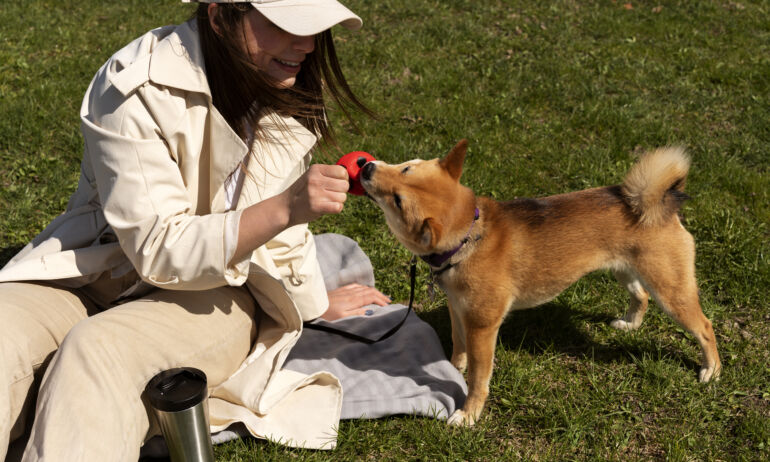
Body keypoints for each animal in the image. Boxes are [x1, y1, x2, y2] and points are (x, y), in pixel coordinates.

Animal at [360, 140, 720, 426]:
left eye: (398, 198)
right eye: (406, 167)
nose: (365, 166)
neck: (468, 239)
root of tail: (659, 203)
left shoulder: (482, 327)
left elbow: (478, 378)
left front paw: (469, 414)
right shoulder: (459, 311)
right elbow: (457, 348)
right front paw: (452, 368)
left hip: (671, 292)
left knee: (704, 326)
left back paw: (711, 370)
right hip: (626, 270)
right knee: (640, 295)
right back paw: (630, 324)